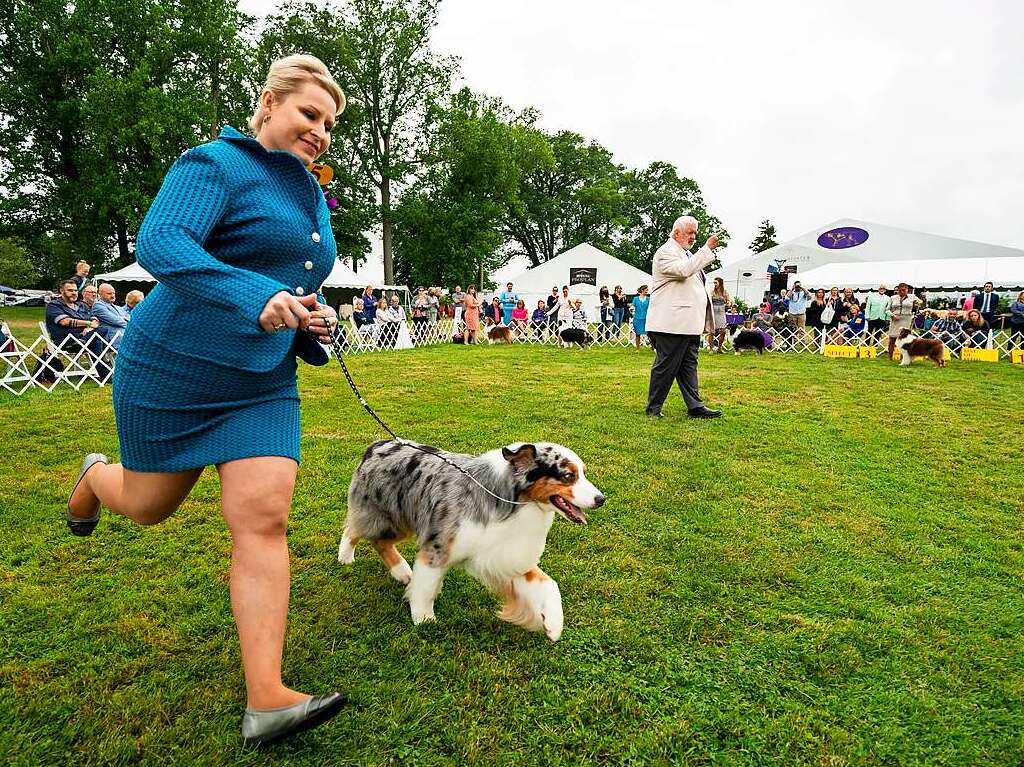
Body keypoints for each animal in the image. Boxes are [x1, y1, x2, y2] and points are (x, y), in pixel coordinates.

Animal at [339, 440, 602, 638]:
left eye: (583, 473)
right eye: (568, 476)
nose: (602, 499)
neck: (510, 501)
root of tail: (376, 445)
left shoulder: (505, 553)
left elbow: (549, 584)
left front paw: (553, 624)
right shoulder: (438, 547)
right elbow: (426, 588)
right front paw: (423, 619)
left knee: (378, 541)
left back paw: (402, 572)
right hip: (386, 514)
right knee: (355, 529)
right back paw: (346, 558)